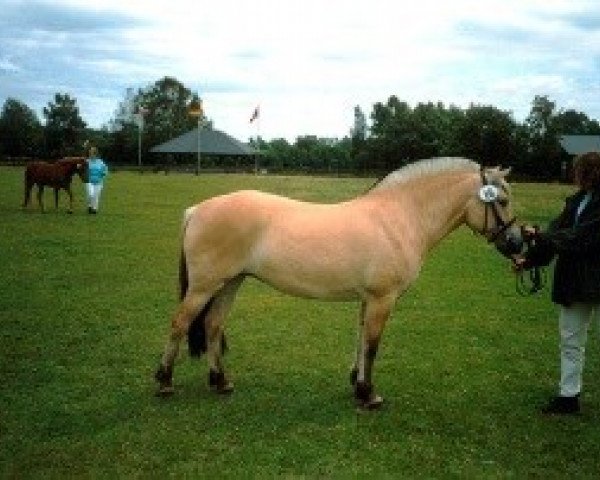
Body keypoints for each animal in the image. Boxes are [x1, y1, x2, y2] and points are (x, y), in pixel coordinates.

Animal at [156, 158, 524, 408]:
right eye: (502, 200)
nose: (518, 243)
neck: (399, 218)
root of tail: (196, 209)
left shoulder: (368, 299)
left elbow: (361, 340)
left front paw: (356, 385)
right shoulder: (382, 299)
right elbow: (372, 345)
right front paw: (369, 394)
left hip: (230, 283)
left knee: (213, 325)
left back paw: (220, 382)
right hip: (205, 286)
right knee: (180, 323)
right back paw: (164, 382)